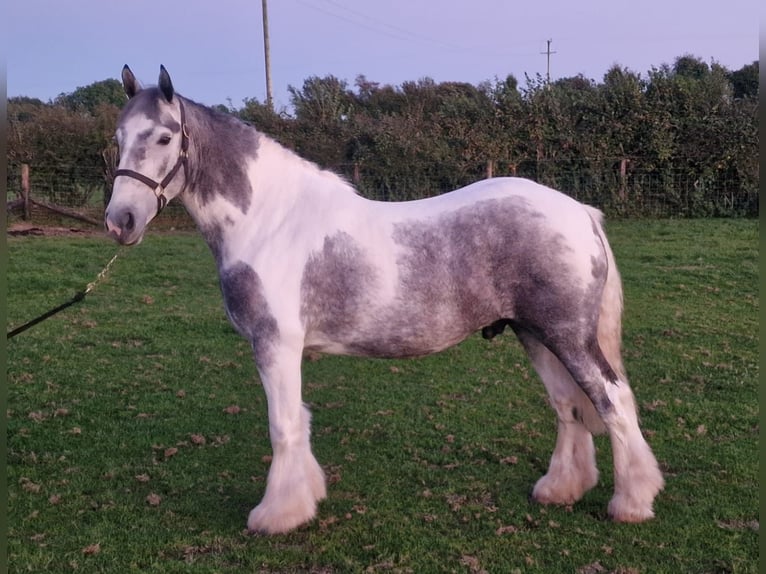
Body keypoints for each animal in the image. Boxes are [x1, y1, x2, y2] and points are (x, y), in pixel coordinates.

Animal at [105, 66, 664, 536]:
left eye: (164, 137)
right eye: (118, 139)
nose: (120, 221)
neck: (269, 221)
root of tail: (581, 211)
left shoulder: (275, 345)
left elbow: (283, 426)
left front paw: (276, 515)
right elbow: (299, 422)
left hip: (567, 336)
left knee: (612, 401)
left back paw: (632, 503)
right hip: (534, 333)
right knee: (569, 406)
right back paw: (560, 490)